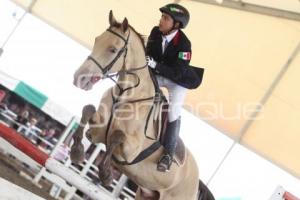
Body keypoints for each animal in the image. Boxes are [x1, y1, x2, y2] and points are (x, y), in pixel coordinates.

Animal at [71, 11, 214, 200]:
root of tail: (197, 184)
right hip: (145, 194)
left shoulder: (131, 151)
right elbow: (88, 110)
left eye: (113, 50)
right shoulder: (97, 133)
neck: (125, 96)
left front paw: (106, 174)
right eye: (97, 40)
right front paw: (77, 152)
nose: (79, 78)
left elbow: (117, 135)